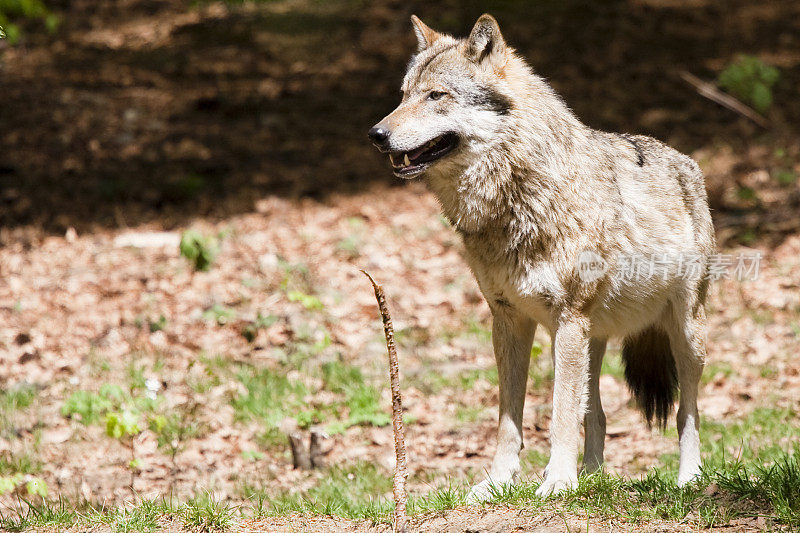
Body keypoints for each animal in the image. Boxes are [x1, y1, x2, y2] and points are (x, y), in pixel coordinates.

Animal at [368, 14, 712, 500]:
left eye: (436, 96)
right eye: (403, 95)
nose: (376, 134)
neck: (514, 200)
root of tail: (686, 161)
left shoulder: (566, 320)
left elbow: (560, 414)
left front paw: (558, 482)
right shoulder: (508, 319)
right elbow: (509, 420)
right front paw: (497, 483)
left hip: (682, 335)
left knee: (688, 412)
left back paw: (687, 479)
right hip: (592, 339)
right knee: (597, 414)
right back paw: (593, 478)